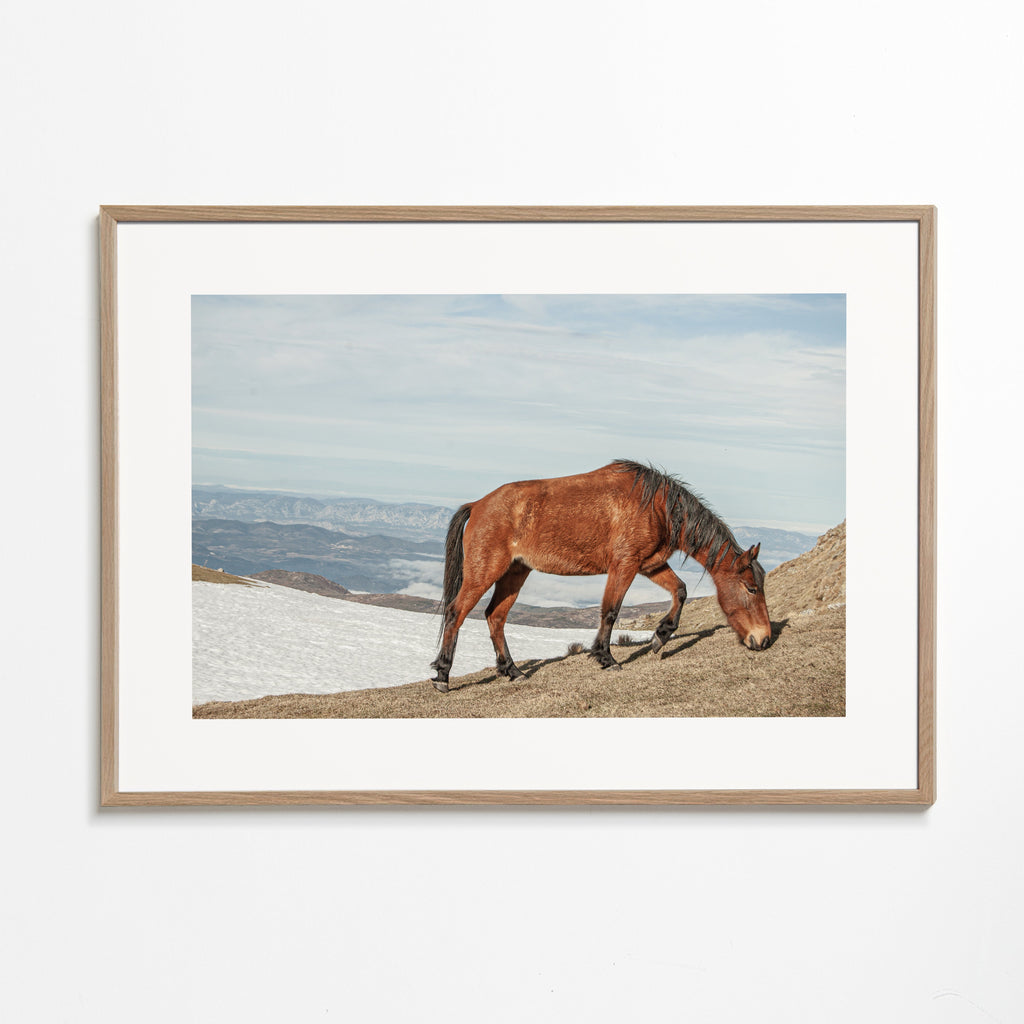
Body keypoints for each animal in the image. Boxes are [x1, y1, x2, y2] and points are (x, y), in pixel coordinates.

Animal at [430, 459, 772, 692]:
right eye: (751, 588)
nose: (764, 639)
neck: (656, 505)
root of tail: (478, 505)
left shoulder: (650, 565)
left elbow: (681, 591)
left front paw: (660, 636)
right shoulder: (625, 565)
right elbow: (610, 611)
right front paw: (606, 659)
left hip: (515, 572)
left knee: (495, 616)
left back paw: (512, 671)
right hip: (485, 572)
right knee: (457, 612)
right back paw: (443, 675)